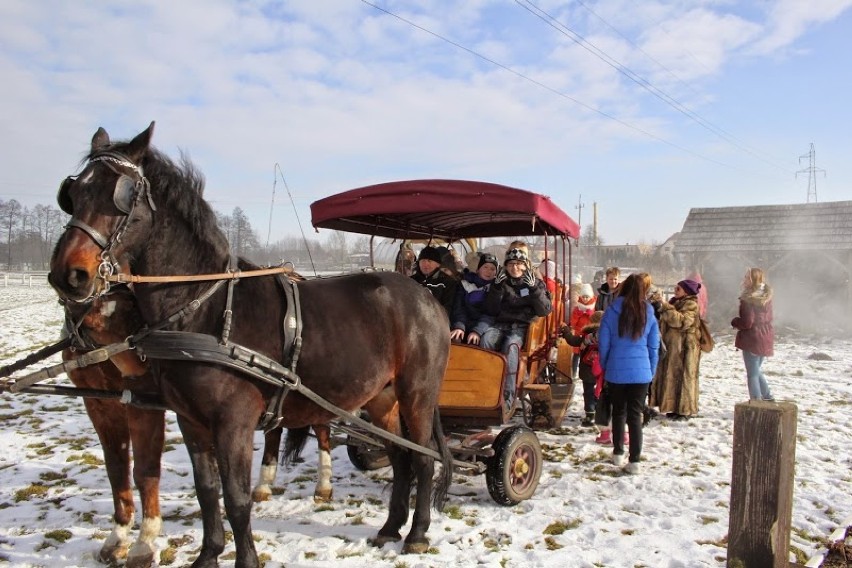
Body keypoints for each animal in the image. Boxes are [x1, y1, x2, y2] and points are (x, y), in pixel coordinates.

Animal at [48, 124, 452, 568]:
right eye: (74, 194)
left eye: (121, 194)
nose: (68, 275)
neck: (204, 311)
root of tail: (426, 296)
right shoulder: (190, 421)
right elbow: (208, 492)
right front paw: (208, 556)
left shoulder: (233, 421)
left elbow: (236, 498)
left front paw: (243, 558)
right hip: (381, 398)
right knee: (399, 458)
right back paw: (390, 527)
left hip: (417, 393)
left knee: (421, 458)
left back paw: (417, 534)